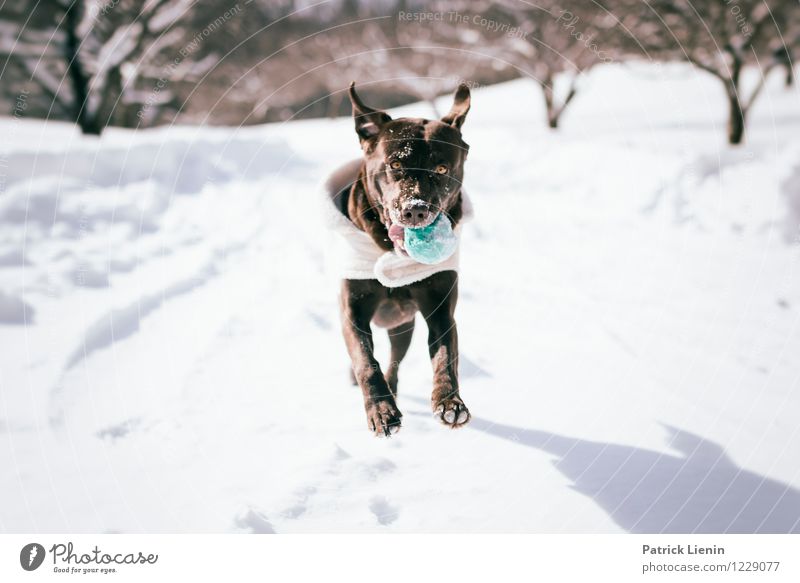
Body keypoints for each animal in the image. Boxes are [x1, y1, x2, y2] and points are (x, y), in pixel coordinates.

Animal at [326, 83, 476, 438]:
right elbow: (366, 361)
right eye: (394, 164)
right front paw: (381, 412)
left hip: (402, 325)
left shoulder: (440, 309)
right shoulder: (352, 311)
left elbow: (445, 356)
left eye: (441, 169)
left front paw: (449, 402)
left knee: (395, 360)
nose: (415, 209)